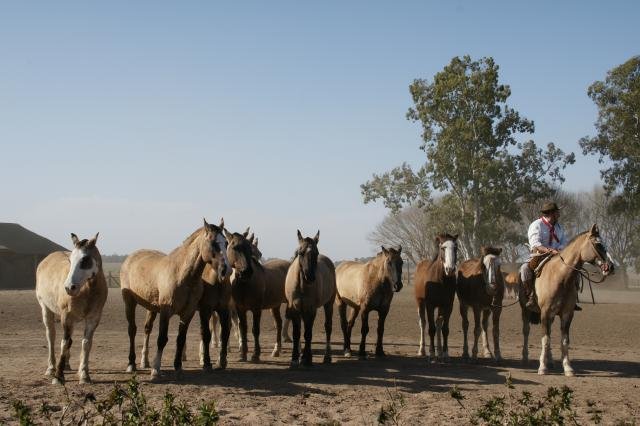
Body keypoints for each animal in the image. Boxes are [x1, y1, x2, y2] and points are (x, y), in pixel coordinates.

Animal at [35, 233, 107, 386]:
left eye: (85, 259)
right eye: (70, 260)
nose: (69, 287)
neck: (87, 291)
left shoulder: (93, 319)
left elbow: (86, 343)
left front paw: (84, 375)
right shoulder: (66, 317)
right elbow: (64, 343)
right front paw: (58, 377)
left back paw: (66, 365)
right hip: (46, 309)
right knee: (51, 336)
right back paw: (51, 367)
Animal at [120, 218, 230, 378]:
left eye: (226, 243)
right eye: (213, 242)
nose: (226, 270)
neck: (181, 274)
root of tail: (130, 257)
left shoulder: (188, 313)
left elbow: (181, 338)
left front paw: (178, 366)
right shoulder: (167, 312)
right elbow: (162, 339)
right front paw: (156, 369)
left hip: (152, 308)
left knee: (147, 329)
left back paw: (144, 361)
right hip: (129, 303)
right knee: (132, 330)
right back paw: (131, 363)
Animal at [222, 228, 288, 362]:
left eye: (249, 248)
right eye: (235, 247)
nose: (246, 272)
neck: (245, 285)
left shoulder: (256, 309)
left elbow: (255, 330)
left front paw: (255, 355)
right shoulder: (240, 309)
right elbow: (243, 328)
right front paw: (243, 354)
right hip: (275, 306)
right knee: (278, 323)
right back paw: (276, 350)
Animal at [284, 231, 336, 368]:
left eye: (316, 253)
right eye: (300, 252)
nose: (310, 277)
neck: (302, 285)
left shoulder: (311, 309)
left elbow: (308, 334)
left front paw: (306, 360)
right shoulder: (295, 309)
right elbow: (297, 334)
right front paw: (295, 359)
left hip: (329, 304)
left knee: (328, 327)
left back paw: (326, 357)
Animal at [528, 223, 612, 376]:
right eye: (598, 244)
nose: (611, 267)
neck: (560, 277)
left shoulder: (567, 314)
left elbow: (564, 341)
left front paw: (567, 368)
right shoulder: (545, 313)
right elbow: (545, 339)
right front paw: (542, 367)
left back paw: (550, 361)